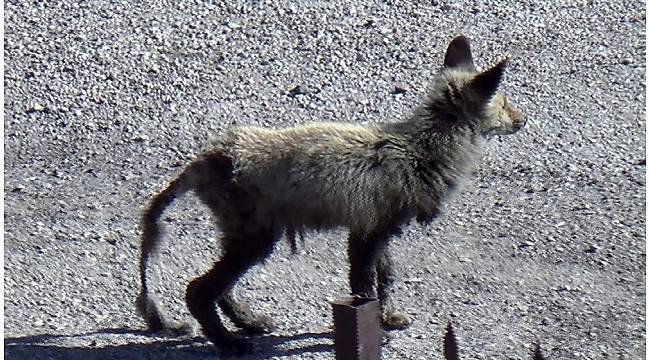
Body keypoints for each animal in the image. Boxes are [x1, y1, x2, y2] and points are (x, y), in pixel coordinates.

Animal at [135, 35, 520, 356]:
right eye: (504, 103)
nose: (523, 120)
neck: (418, 150)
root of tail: (211, 155)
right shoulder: (370, 234)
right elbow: (365, 287)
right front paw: (378, 332)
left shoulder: (373, 228)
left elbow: (384, 280)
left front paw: (388, 317)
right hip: (256, 240)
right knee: (198, 290)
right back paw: (230, 342)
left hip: (242, 238)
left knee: (219, 288)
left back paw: (249, 322)